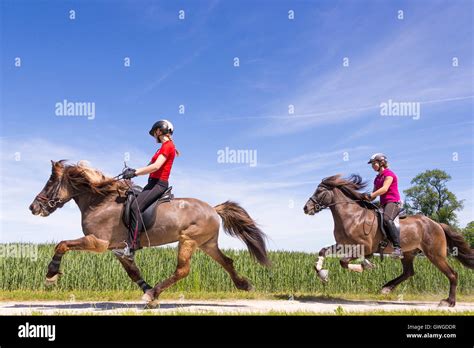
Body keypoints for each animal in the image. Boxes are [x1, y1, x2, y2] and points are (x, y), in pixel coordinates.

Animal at [29, 160, 268, 304]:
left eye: (50, 181)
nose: (33, 207)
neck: (100, 201)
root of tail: (212, 208)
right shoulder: (117, 249)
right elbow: (133, 272)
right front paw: (146, 290)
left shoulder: (97, 242)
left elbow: (62, 244)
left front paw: (51, 274)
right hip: (206, 243)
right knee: (227, 261)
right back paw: (244, 284)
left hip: (188, 239)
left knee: (183, 270)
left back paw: (155, 293)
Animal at [304, 175, 474, 306]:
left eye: (319, 191)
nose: (306, 208)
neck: (352, 216)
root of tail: (437, 224)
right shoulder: (343, 245)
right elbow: (323, 251)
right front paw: (322, 274)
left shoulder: (364, 247)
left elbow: (344, 261)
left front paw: (366, 266)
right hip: (408, 253)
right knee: (408, 272)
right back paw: (386, 288)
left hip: (435, 254)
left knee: (453, 274)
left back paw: (449, 302)